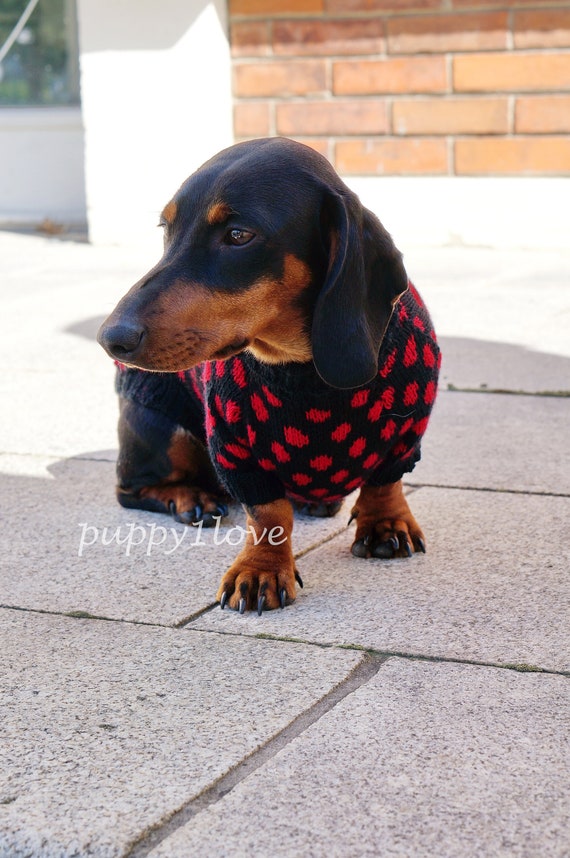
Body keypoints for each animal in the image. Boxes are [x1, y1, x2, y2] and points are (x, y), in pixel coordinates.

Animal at [97, 137, 438, 612]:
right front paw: (261, 568)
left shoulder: (407, 433)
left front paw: (386, 522)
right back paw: (192, 497)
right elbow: (268, 513)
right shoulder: (235, 449)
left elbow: (385, 481)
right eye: (166, 228)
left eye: (239, 235)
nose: (112, 338)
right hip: (157, 427)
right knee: (131, 489)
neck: (301, 365)